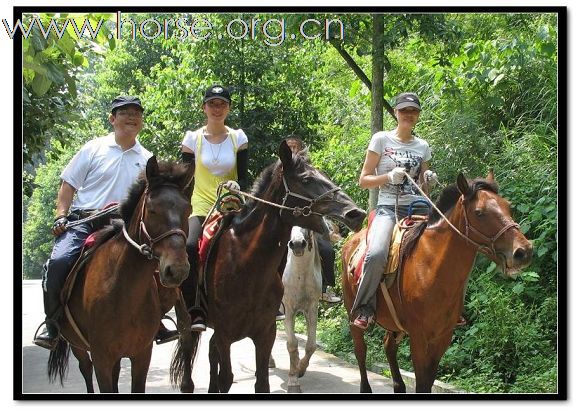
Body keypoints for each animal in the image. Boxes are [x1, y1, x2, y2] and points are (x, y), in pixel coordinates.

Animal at [46, 156, 195, 392]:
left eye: (187, 210)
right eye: (152, 210)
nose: (177, 269)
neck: (122, 289)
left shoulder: (141, 355)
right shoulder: (102, 358)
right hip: (78, 346)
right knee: (85, 369)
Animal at [280, 227, 322, 392]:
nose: (297, 244)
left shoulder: (312, 308)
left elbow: (311, 345)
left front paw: (300, 369)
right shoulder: (288, 309)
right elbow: (292, 344)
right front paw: (293, 380)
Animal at [340, 171, 536, 392]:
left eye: (507, 206)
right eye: (479, 213)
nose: (523, 251)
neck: (431, 266)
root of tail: (350, 242)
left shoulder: (442, 338)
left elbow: (428, 380)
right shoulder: (419, 337)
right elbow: (421, 382)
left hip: (394, 324)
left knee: (388, 346)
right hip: (353, 313)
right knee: (360, 350)